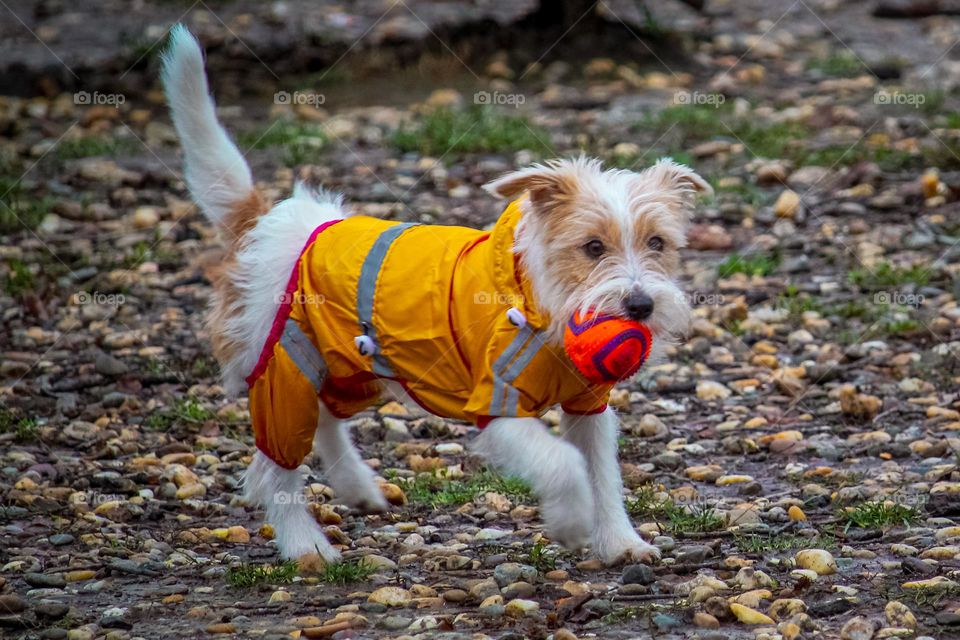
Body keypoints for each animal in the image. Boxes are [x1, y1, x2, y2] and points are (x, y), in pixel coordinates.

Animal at [161, 23, 708, 564]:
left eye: (657, 243)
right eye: (593, 247)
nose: (641, 306)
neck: (538, 296)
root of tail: (265, 224)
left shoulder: (588, 405)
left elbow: (602, 474)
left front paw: (620, 542)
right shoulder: (498, 405)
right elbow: (562, 463)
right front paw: (572, 522)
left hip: (347, 369)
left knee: (325, 423)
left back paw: (356, 488)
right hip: (284, 368)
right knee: (275, 465)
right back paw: (305, 546)